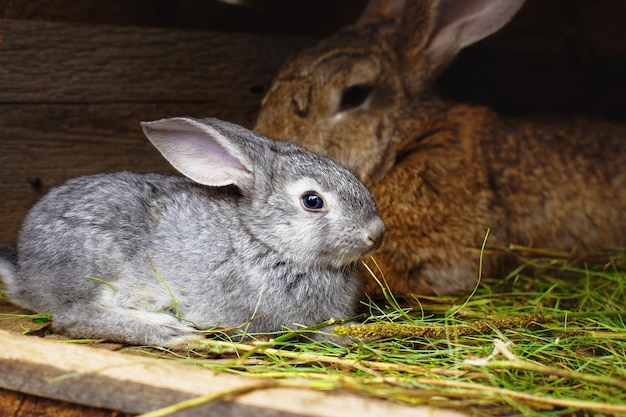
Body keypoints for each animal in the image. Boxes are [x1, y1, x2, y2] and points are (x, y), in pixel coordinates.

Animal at [0, 115, 382, 346]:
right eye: (313, 201)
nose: (376, 232)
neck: (262, 239)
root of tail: (25, 273)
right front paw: (344, 335)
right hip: (96, 264)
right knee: (73, 317)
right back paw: (167, 329)